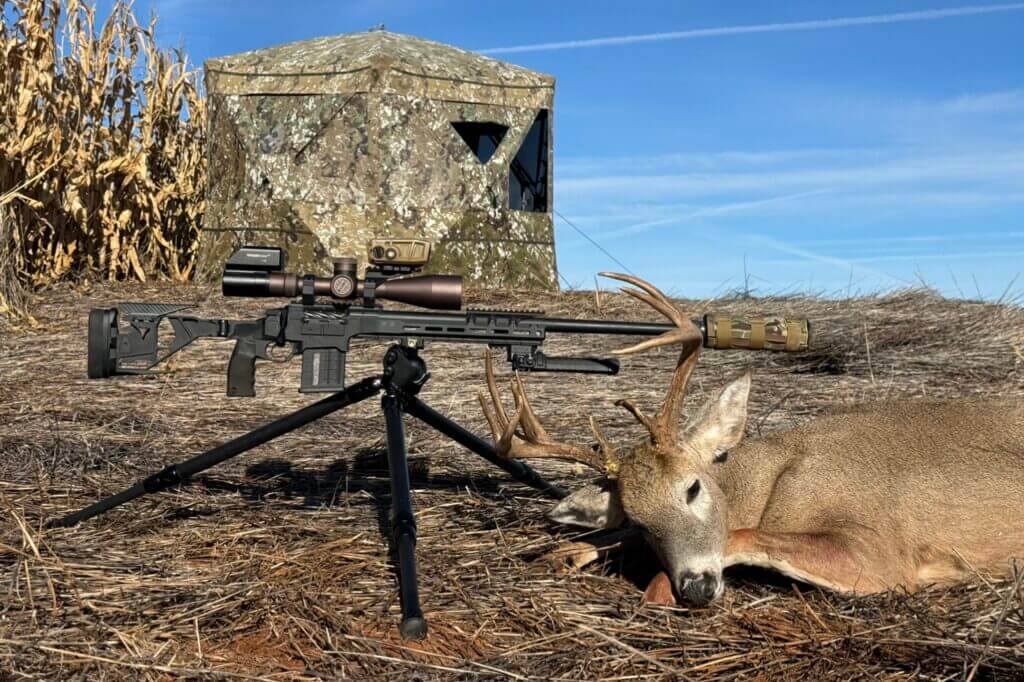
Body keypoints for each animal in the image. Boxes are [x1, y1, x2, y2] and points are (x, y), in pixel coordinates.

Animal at [477, 274, 1024, 602]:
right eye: (641, 518)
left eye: (693, 487)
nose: (697, 587)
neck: (772, 482)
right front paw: (565, 552)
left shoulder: (879, 550)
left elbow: (738, 535)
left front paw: (656, 587)